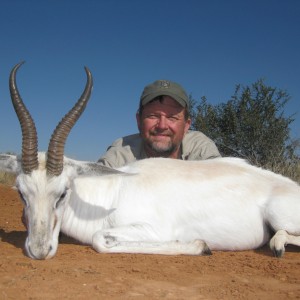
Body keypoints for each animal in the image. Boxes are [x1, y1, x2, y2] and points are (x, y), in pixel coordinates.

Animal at [0, 62, 300, 258]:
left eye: (62, 193)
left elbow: (99, 240)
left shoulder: (151, 229)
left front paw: (201, 245)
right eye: (21, 192)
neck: (111, 194)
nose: (39, 251)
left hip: (278, 215)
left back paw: (277, 245)